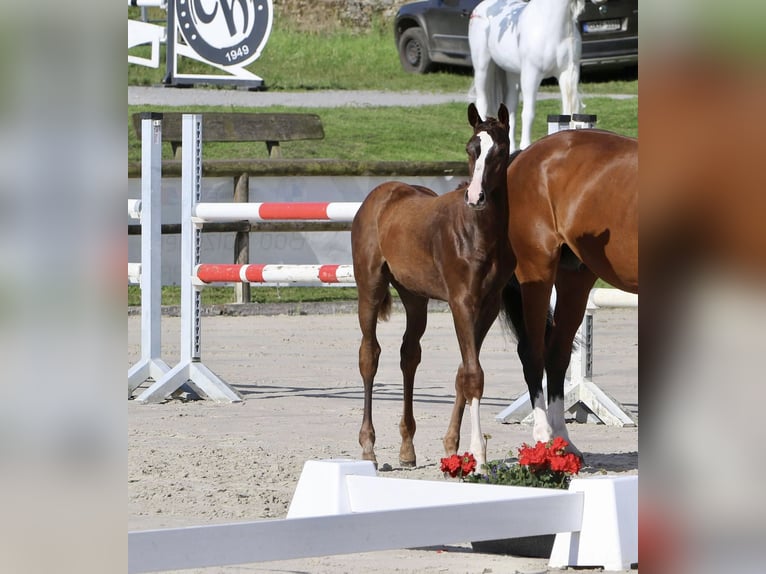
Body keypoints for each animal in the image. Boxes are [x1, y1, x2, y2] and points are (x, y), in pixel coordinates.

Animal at [354, 104, 516, 468]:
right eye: (471, 149)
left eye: (500, 151)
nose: (476, 196)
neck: (478, 233)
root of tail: (379, 194)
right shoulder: (462, 301)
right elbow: (473, 375)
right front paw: (478, 455)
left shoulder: (487, 305)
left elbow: (464, 372)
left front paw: (452, 445)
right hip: (369, 288)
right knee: (369, 355)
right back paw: (369, 446)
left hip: (415, 297)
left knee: (409, 355)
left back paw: (407, 447)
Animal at [484, 128, 640, 456]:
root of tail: (526, 155)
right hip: (537, 270)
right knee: (532, 351)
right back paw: (544, 436)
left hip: (575, 277)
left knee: (557, 352)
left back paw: (563, 441)